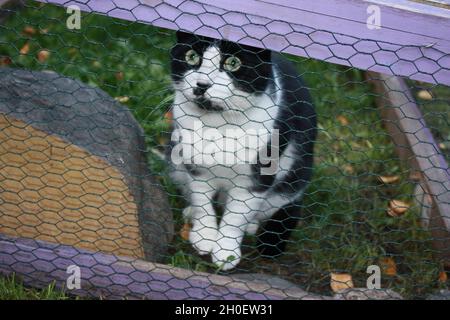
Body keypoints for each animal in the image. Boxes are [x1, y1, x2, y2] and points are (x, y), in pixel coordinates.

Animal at [168, 31, 316, 270]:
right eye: (191, 57)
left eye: (233, 63)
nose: (202, 84)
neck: (218, 123)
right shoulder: (195, 166)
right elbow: (202, 201)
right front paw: (205, 236)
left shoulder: (257, 177)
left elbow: (236, 216)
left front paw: (226, 253)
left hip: (292, 182)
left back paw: (253, 227)